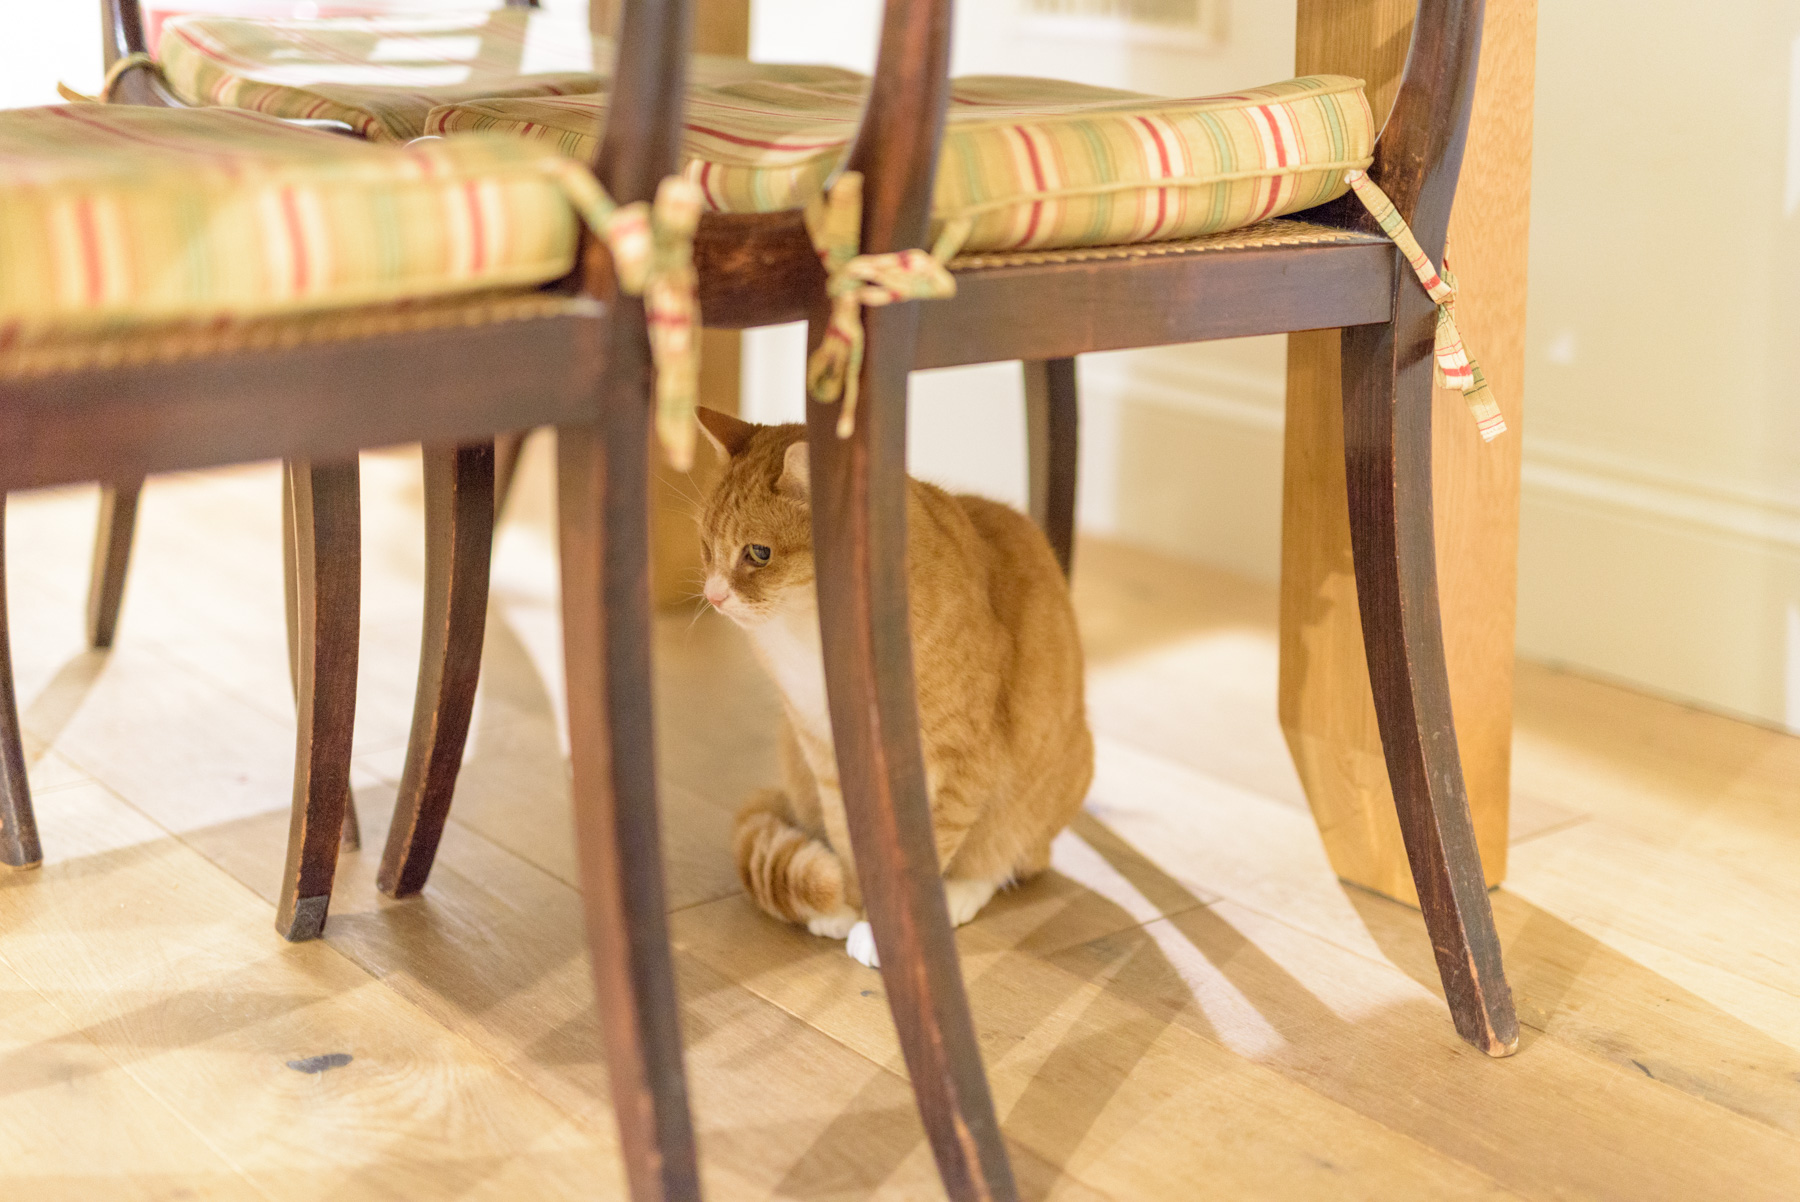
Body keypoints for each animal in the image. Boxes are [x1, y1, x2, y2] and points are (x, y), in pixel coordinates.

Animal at [694, 406, 1093, 966]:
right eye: (706, 547)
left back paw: (960, 893)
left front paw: (888, 932)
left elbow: (932, 845)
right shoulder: (826, 753)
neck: (810, 636)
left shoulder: (960, 759)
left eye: (759, 553)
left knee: (1006, 857)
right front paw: (850, 907)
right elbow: (849, 842)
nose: (713, 595)